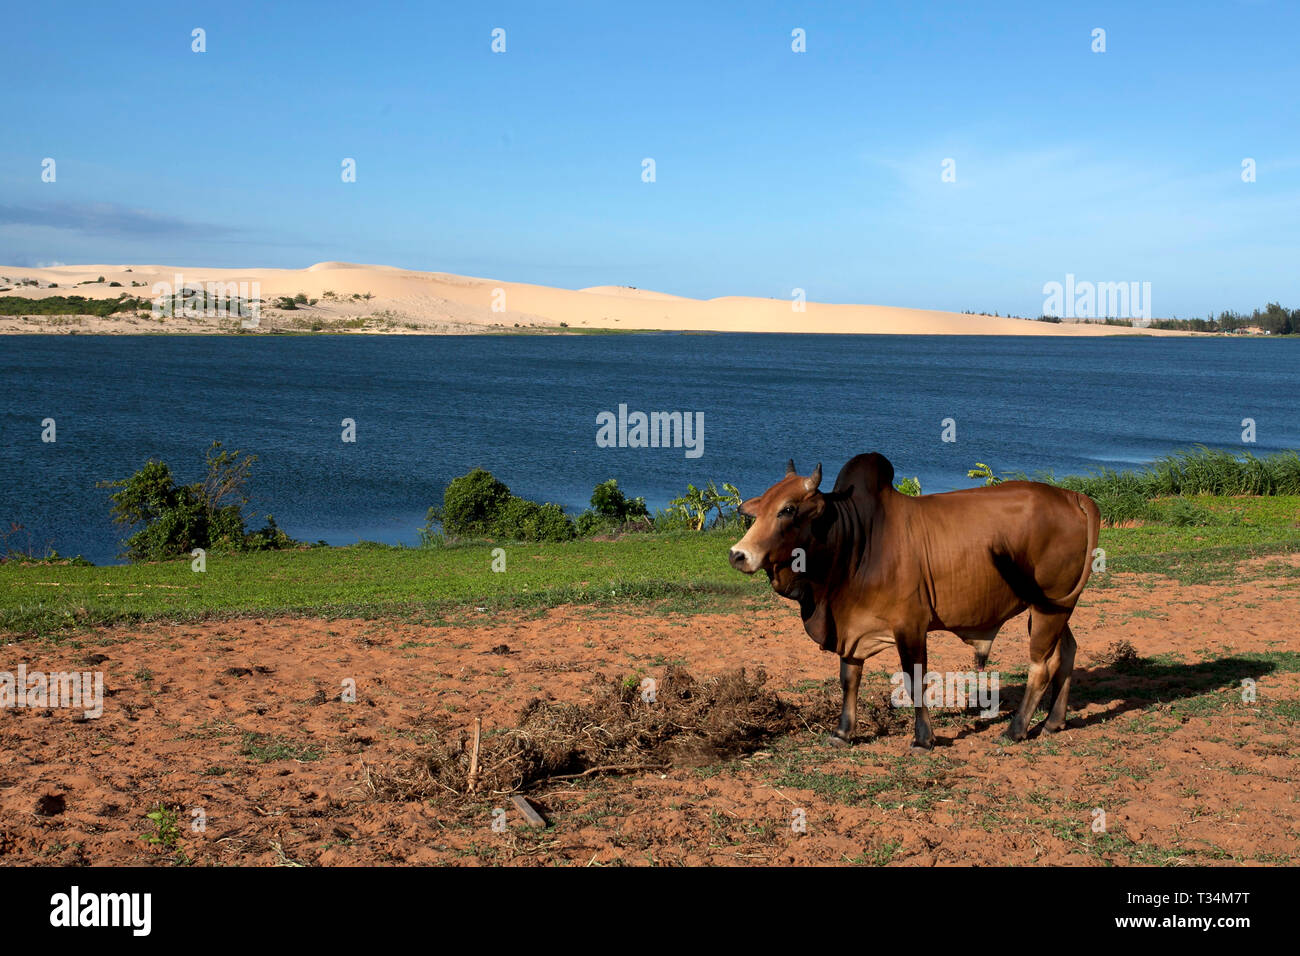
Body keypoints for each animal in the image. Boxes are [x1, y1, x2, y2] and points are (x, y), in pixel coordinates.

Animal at [733, 452, 1097, 749]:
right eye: (758, 510)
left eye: (788, 509)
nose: (738, 555)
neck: (856, 541)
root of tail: (1073, 496)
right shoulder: (850, 627)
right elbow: (849, 679)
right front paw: (842, 732)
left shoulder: (910, 625)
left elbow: (914, 679)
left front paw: (923, 738)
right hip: (1054, 607)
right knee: (1067, 651)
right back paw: (1053, 722)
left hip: (1048, 607)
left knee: (1041, 666)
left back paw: (1016, 729)